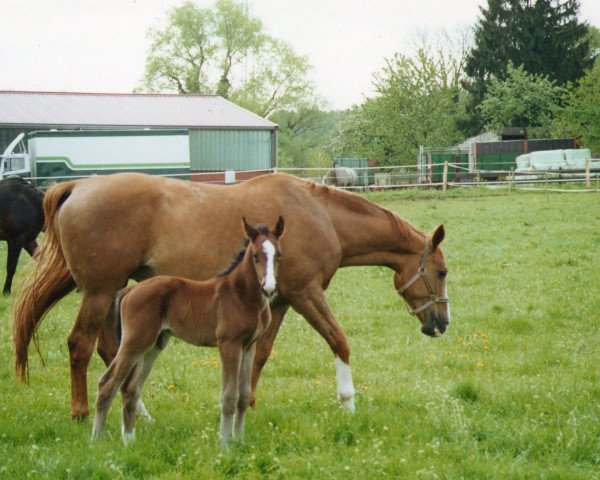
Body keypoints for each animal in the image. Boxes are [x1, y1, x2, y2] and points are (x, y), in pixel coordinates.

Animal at [91, 216, 284, 444]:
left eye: (278, 255)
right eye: (255, 256)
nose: (269, 288)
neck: (242, 295)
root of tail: (130, 289)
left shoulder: (249, 345)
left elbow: (243, 395)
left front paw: (239, 440)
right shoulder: (229, 344)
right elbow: (229, 396)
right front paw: (225, 443)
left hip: (155, 344)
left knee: (131, 388)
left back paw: (129, 441)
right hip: (135, 342)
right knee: (108, 383)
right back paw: (96, 440)